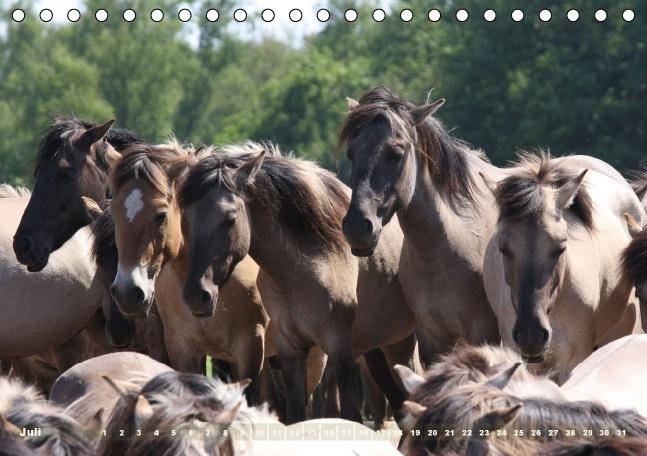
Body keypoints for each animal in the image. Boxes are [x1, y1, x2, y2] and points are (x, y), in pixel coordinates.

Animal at [180, 142, 418, 424]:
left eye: (229, 219)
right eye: (185, 219)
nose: (196, 295)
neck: (305, 267)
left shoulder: (339, 353)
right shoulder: (290, 354)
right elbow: (295, 417)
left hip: (401, 347)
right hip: (377, 352)